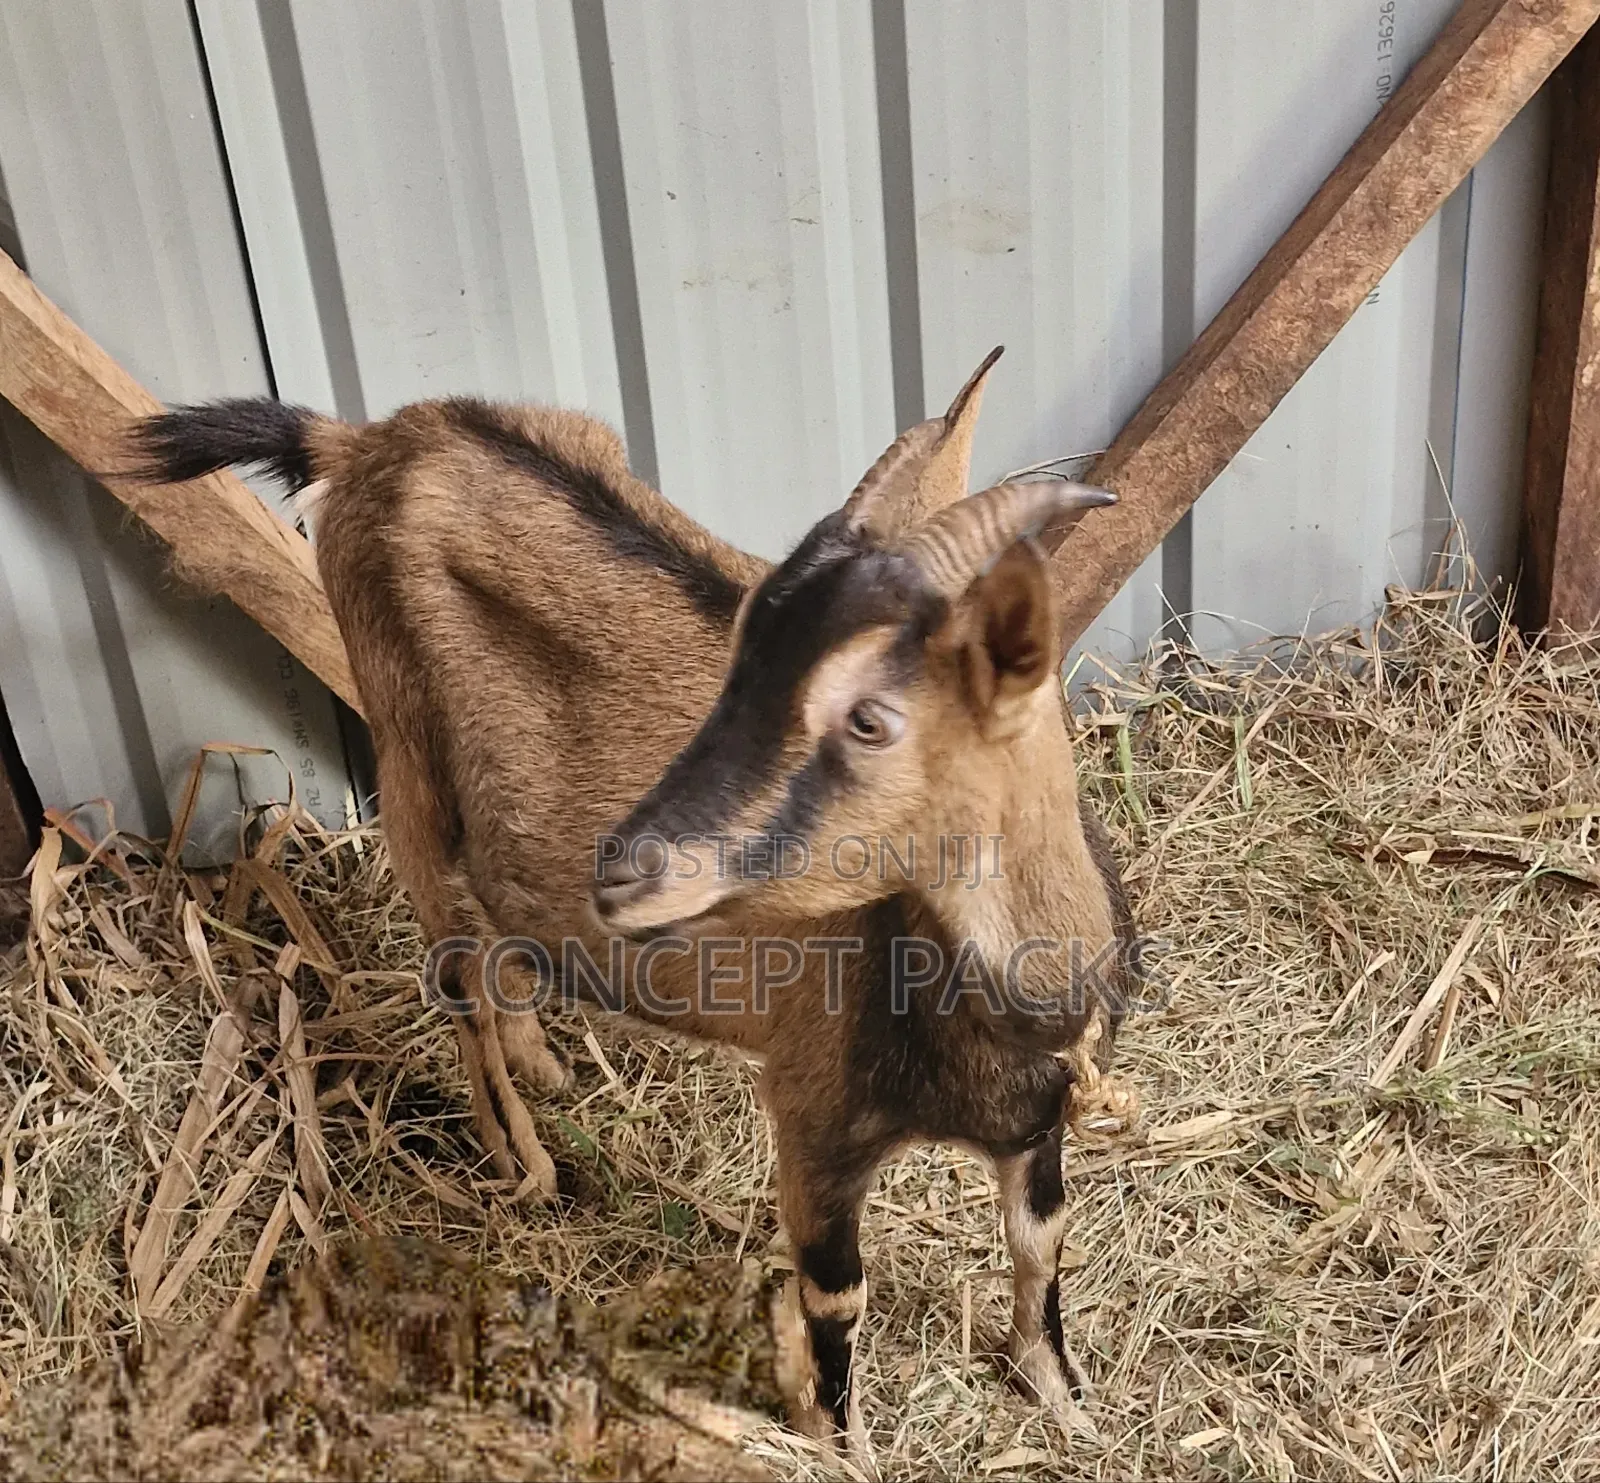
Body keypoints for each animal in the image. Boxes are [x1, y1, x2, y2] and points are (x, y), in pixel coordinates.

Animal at [128, 351, 1137, 1464]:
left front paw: (1065, 1401)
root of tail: (365, 441)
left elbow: (1040, 1245)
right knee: (455, 970)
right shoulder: (812, 1117)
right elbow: (836, 1295)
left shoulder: (1037, 1120)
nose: (626, 868)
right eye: (741, 649)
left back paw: (542, 1061)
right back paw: (523, 1160)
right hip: (404, 765)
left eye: (870, 718)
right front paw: (840, 1442)